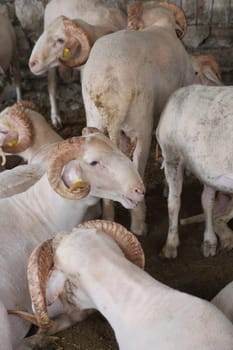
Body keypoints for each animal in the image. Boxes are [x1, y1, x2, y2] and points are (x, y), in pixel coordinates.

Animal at [81, 0, 196, 235]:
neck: (161, 25)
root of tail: (109, 84)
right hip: (140, 124)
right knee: (138, 164)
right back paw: (138, 223)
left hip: (95, 118)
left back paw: (109, 215)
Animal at [157, 83, 233, 258]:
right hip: (172, 155)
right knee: (174, 201)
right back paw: (171, 244)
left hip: (207, 167)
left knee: (208, 203)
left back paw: (211, 241)